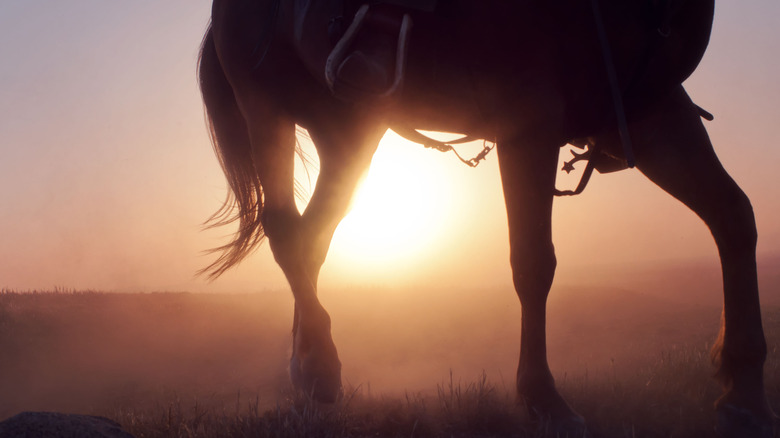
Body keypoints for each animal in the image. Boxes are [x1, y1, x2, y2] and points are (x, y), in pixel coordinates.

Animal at [197, 0, 772, 434]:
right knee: (286, 232)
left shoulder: (652, 108)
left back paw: (309, 368)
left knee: (311, 236)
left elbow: (733, 216)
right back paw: (317, 367)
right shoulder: (529, 123)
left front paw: (743, 388)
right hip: (267, 110)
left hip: (348, 127)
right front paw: (543, 400)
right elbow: (534, 265)